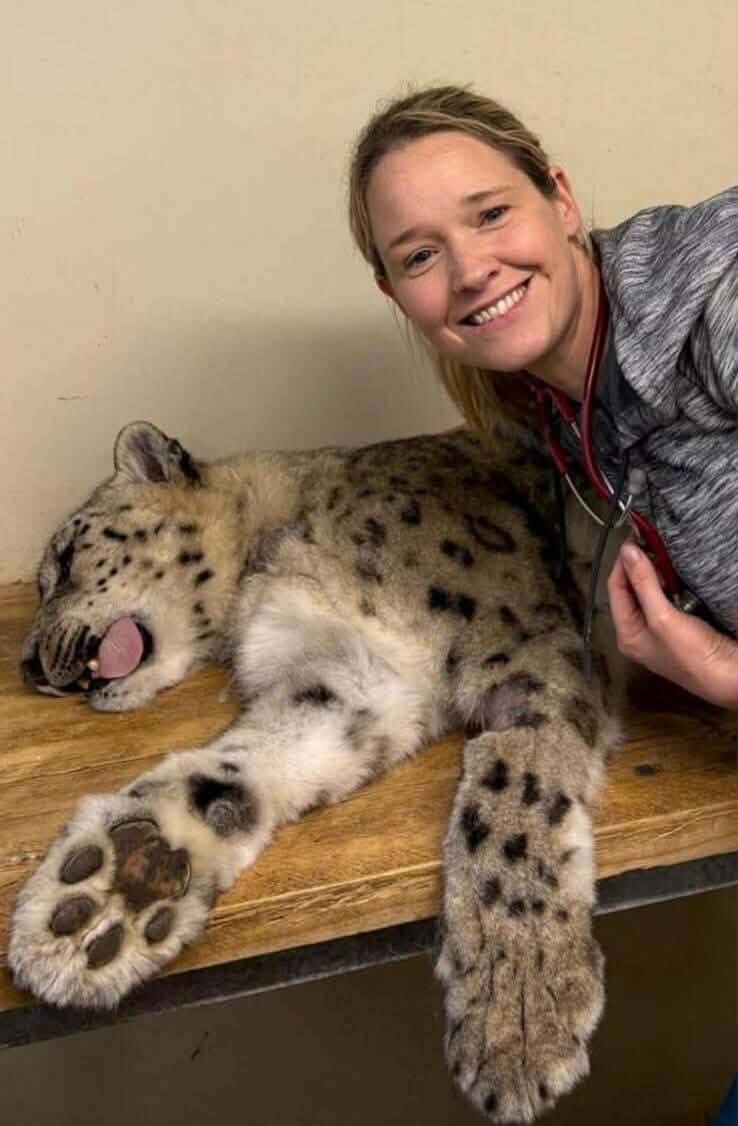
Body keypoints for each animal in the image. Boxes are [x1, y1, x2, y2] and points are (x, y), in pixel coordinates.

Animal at [11, 419, 619, 1124]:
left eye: (64, 559)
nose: (28, 667)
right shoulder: (356, 676)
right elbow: (241, 763)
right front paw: (121, 882)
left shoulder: (533, 658)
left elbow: (512, 793)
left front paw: (517, 1011)